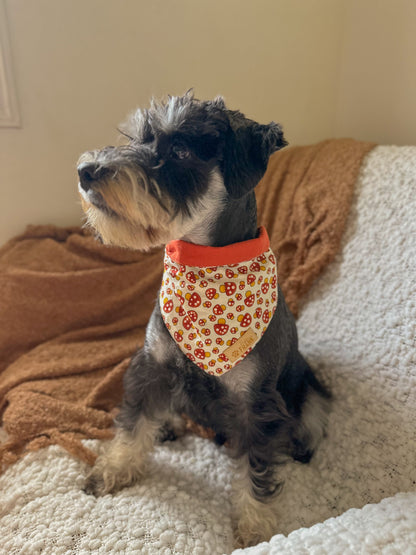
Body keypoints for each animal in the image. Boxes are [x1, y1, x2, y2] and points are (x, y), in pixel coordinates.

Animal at [76, 91, 330, 548]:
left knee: (311, 419)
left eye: (180, 151)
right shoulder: (152, 366)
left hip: (309, 388)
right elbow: (133, 425)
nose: (86, 171)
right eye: (138, 137)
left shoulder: (257, 404)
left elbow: (258, 467)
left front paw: (254, 525)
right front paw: (111, 470)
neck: (202, 268)